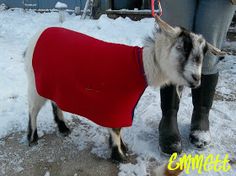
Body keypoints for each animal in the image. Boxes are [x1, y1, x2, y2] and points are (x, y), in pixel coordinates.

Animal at [24, 16, 225, 164]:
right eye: (182, 47)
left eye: (204, 54)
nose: (196, 79)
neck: (142, 65)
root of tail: (37, 36)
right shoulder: (116, 103)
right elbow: (116, 129)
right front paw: (119, 155)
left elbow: (117, 128)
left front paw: (123, 147)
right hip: (35, 82)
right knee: (33, 109)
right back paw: (32, 137)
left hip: (54, 82)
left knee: (55, 101)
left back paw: (63, 127)